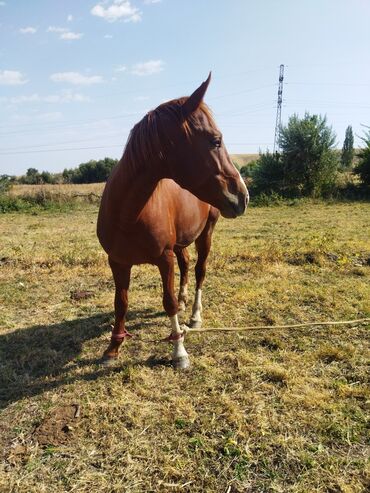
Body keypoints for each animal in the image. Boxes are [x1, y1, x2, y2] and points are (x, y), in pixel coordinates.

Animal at [97, 71, 249, 368]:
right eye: (215, 140)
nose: (243, 196)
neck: (128, 213)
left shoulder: (163, 258)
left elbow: (166, 301)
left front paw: (179, 351)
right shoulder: (117, 261)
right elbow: (121, 302)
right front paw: (113, 347)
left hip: (206, 233)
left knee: (200, 270)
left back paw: (194, 316)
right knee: (187, 264)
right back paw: (183, 301)